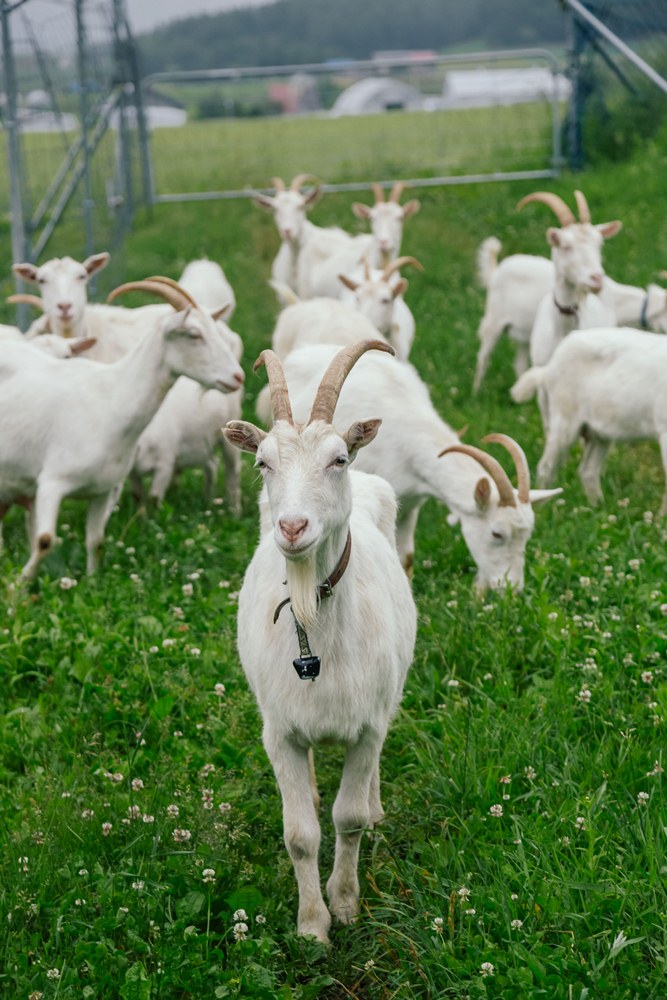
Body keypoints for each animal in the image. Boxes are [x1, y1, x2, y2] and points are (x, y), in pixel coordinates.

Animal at [0, 280, 244, 580]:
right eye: (193, 334)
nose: (237, 376)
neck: (112, 400)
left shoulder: (101, 490)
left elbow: (96, 541)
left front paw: (92, 581)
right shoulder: (51, 483)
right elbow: (44, 540)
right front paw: (20, 585)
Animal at [227, 340, 420, 940]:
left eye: (338, 459)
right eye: (263, 462)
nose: (292, 527)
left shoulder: (367, 726)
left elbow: (349, 819)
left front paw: (347, 902)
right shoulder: (280, 733)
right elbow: (301, 834)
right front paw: (312, 925)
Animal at [512, 328, 667, 516]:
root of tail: (548, 369)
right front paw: (661, 520)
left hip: (599, 431)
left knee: (588, 471)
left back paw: (599, 509)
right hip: (564, 418)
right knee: (546, 466)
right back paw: (543, 509)